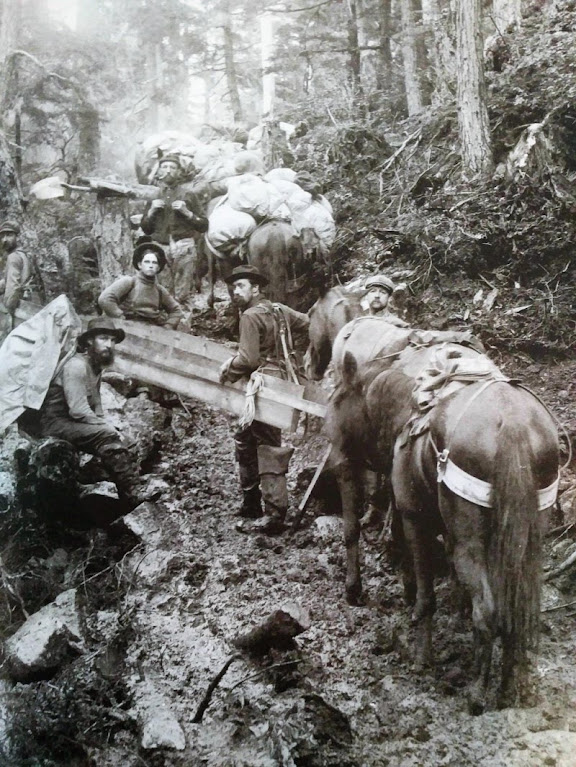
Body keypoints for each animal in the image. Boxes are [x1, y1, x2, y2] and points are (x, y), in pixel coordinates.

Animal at [328, 344, 560, 716]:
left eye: (337, 400)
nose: (334, 459)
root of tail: (513, 424)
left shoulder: (415, 520)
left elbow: (427, 592)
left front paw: (422, 656)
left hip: (472, 548)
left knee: (489, 612)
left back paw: (477, 693)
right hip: (526, 548)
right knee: (514, 612)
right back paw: (507, 691)